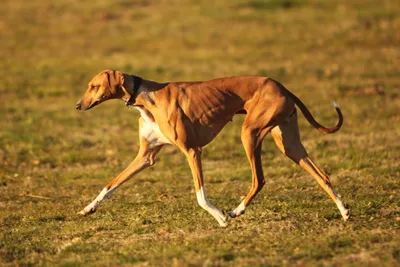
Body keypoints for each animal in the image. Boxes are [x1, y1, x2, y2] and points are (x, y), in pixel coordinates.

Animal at [76, 69, 350, 228]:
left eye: (94, 86)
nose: (78, 105)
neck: (146, 98)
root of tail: (281, 86)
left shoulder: (192, 151)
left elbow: (200, 196)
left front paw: (219, 217)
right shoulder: (146, 156)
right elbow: (111, 185)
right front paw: (89, 208)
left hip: (250, 134)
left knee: (259, 179)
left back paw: (237, 210)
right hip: (289, 144)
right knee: (323, 175)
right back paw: (344, 211)